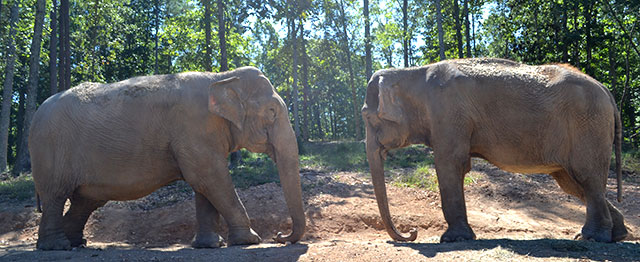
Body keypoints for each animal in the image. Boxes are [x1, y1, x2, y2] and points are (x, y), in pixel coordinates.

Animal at [26, 66, 302, 250]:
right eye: (271, 111)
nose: (279, 236)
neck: (221, 77)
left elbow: (205, 184)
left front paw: (209, 245)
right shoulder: (193, 128)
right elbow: (209, 177)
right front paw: (249, 240)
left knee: (84, 201)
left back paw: (77, 243)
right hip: (49, 150)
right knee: (55, 196)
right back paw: (57, 246)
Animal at [362, 57, 628, 244]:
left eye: (366, 116)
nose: (412, 232)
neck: (413, 72)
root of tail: (606, 90)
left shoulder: (448, 114)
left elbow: (450, 164)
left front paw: (452, 239)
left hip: (589, 127)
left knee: (587, 178)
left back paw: (593, 237)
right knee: (574, 183)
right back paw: (617, 235)